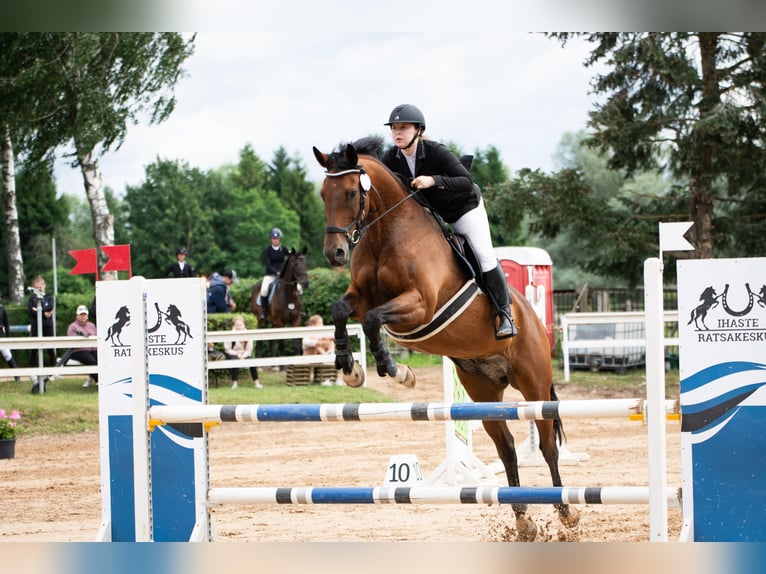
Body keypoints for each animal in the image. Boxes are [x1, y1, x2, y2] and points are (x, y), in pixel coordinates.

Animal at [316, 138, 580, 540]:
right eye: (322, 194)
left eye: (349, 192)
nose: (335, 253)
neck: (385, 233)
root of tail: (532, 317)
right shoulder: (361, 297)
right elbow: (339, 310)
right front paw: (350, 369)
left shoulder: (420, 305)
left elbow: (375, 321)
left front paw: (395, 370)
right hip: (483, 390)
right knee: (506, 448)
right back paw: (523, 519)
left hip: (534, 383)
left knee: (548, 444)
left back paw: (566, 512)